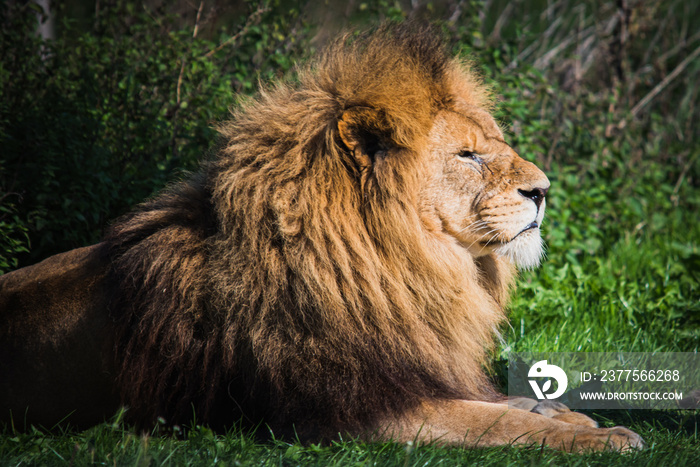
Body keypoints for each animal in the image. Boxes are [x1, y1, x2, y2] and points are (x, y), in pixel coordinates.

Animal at [0, 23, 644, 452]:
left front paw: (574, 417)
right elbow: (495, 420)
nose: (544, 190)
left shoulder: (413, 370)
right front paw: (603, 439)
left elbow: (511, 400)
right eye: (468, 155)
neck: (406, 269)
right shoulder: (352, 411)